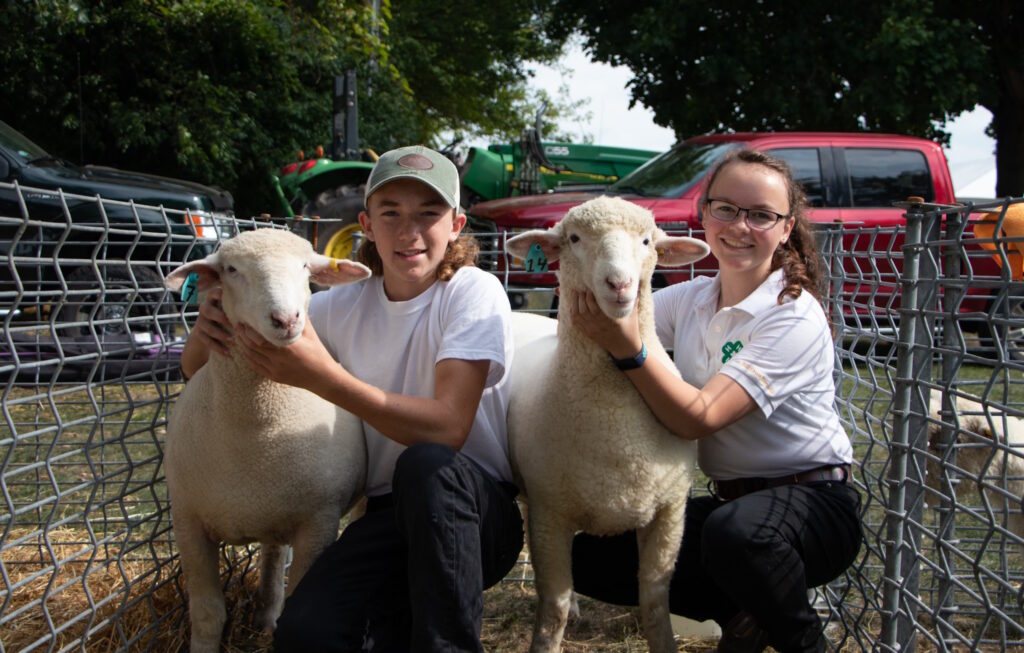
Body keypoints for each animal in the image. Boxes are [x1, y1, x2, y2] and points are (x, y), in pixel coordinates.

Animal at [165, 227, 374, 650]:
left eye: (306, 266)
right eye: (230, 270)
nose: (286, 319)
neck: (254, 429)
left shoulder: (318, 521)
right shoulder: (187, 520)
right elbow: (207, 614)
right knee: (273, 554)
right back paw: (263, 616)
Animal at [503, 195, 712, 653]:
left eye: (648, 240)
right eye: (574, 239)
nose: (619, 284)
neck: (616, 426)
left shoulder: (670, 512)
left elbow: (655, 602)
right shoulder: (550, 514)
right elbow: (553, 609)